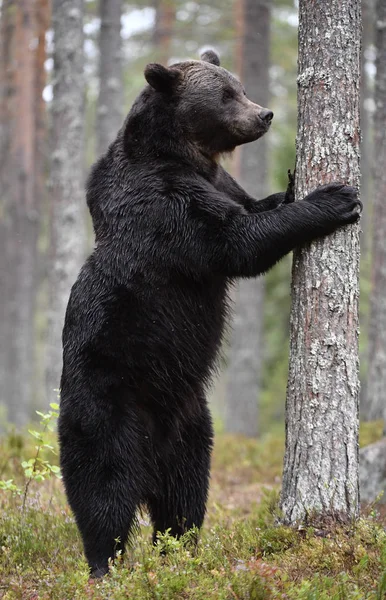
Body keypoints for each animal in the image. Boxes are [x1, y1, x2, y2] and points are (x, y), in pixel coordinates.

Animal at [58, 50, 362, 576]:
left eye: (238, 87)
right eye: (225, 95)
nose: (265, 114)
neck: (187, 156)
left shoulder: (218, 182)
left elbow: (253, 208)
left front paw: (288, 186)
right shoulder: (163, 204)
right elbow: (236, 241)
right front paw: (334, 197)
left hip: (191, 424)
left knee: (185, 495)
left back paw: (181, 552)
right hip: (104, 403)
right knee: (104, 489)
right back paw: (104, 565)